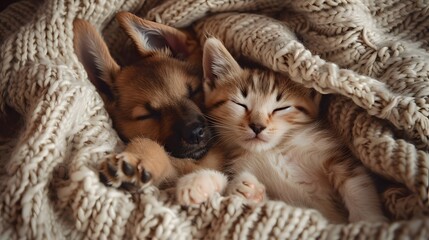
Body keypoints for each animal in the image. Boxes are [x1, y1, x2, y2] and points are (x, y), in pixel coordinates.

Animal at [196, 37, 386, 223]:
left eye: (281, 108)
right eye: (240, 104)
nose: (257, 126)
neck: (274, 149)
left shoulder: (335, 155)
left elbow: (357, 185)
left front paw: (369, 221)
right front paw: (248, 191)